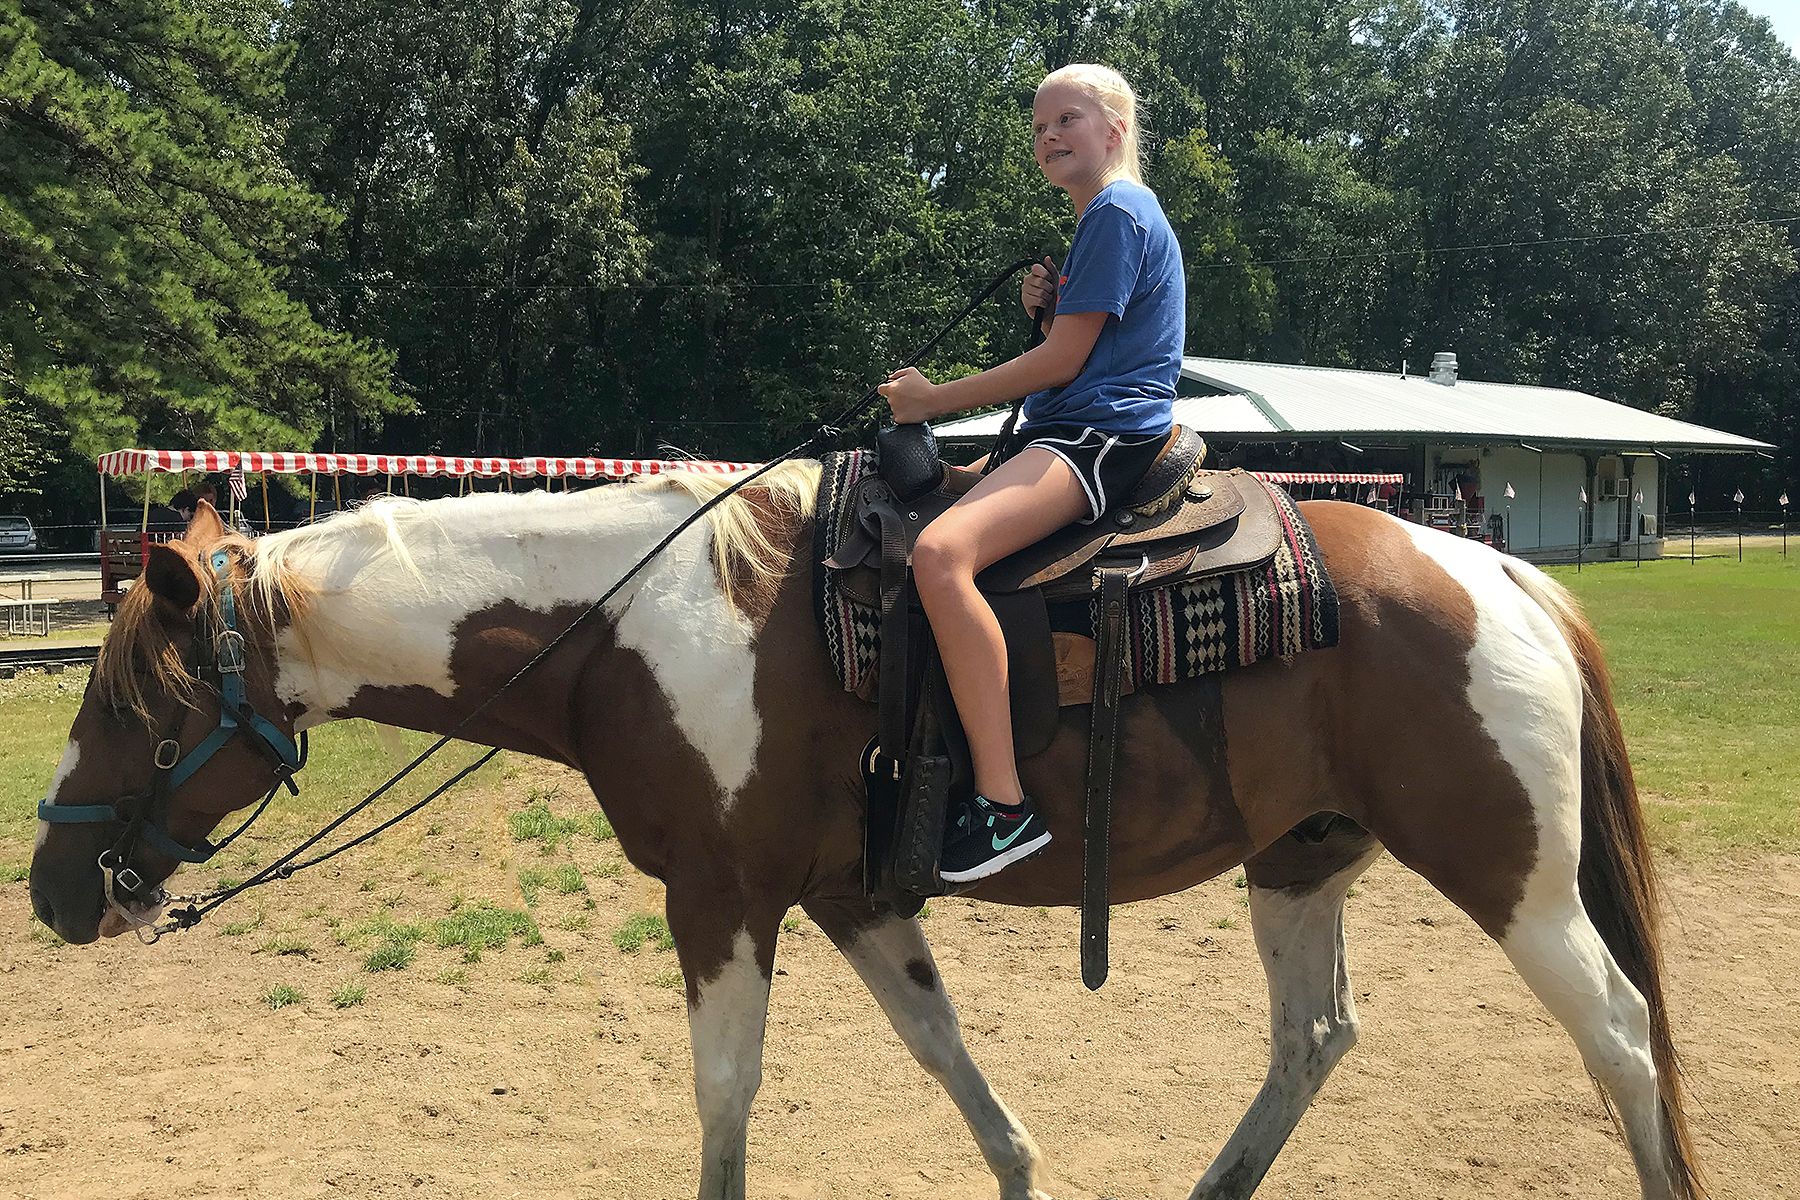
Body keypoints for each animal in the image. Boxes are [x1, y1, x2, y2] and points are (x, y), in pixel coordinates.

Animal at [28, 469, 1700, 1200]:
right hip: (1300, 863)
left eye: (131, 705)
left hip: (1514, 880)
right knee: (1314, 1038)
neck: (634, 628)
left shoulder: (720, 902)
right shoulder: (853, 901)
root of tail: (1500, 574)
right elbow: (953, 1065)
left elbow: (724, 1104)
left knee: (1621, 1038)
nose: (49, 888)